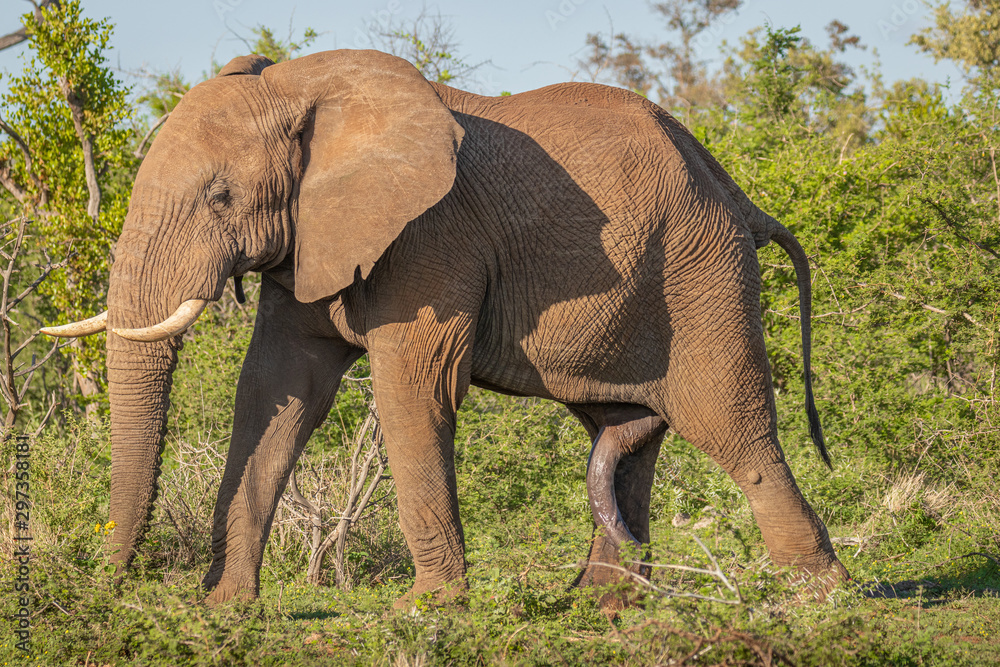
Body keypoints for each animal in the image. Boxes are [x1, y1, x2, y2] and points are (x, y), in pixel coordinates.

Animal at [43, 49, 850, 608]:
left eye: (219, 196)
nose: (110, 585)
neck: (307, 89)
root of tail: (734, 189)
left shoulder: (431, 237)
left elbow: (412, 390)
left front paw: (426, 608)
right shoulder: (311, 237)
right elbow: (274, 389)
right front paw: (222, 609)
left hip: (701, 273)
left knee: (733, 428)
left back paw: (818, 599)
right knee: (624, 433)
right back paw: (602, 602)